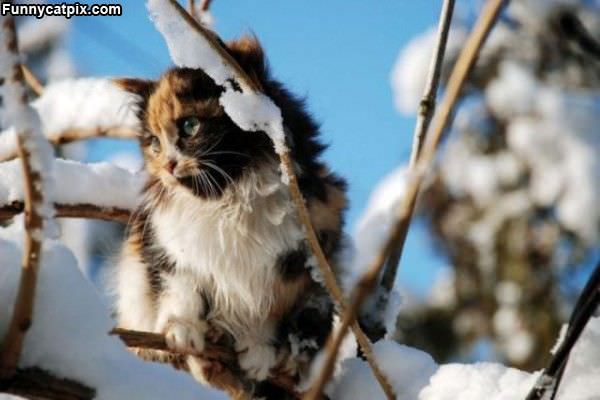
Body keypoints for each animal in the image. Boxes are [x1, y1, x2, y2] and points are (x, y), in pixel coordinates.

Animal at [112, 36, 346, 398]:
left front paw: (258, 353)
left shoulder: (296, 259)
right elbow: (180, 291)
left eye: (190, 126)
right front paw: (183, 333)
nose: (168, 164)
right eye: (153, 142)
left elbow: (266, 312)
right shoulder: (165, 249)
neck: (228, 200)